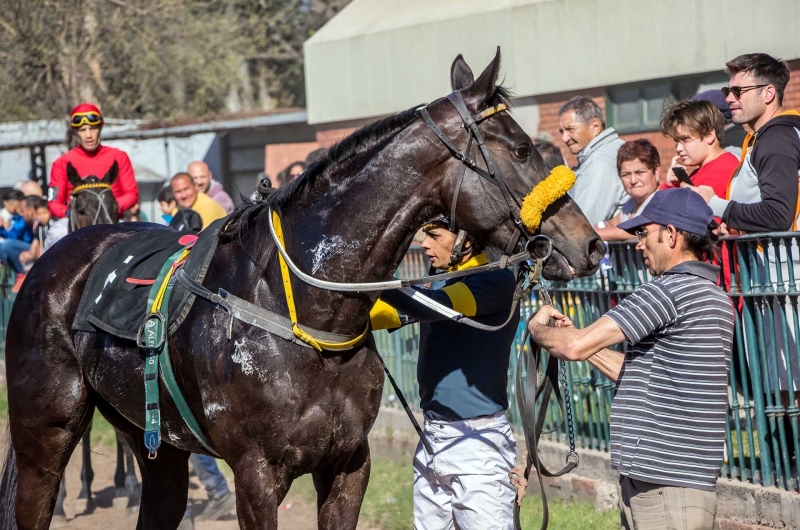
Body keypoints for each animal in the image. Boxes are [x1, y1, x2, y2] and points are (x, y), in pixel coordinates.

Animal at [0, 50, 600, 528]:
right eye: (520, 149)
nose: (590, 243)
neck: (308, 313)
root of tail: (52, 263)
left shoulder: (347, 465)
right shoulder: (258, 476)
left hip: (157, 445)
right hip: (43, 434)